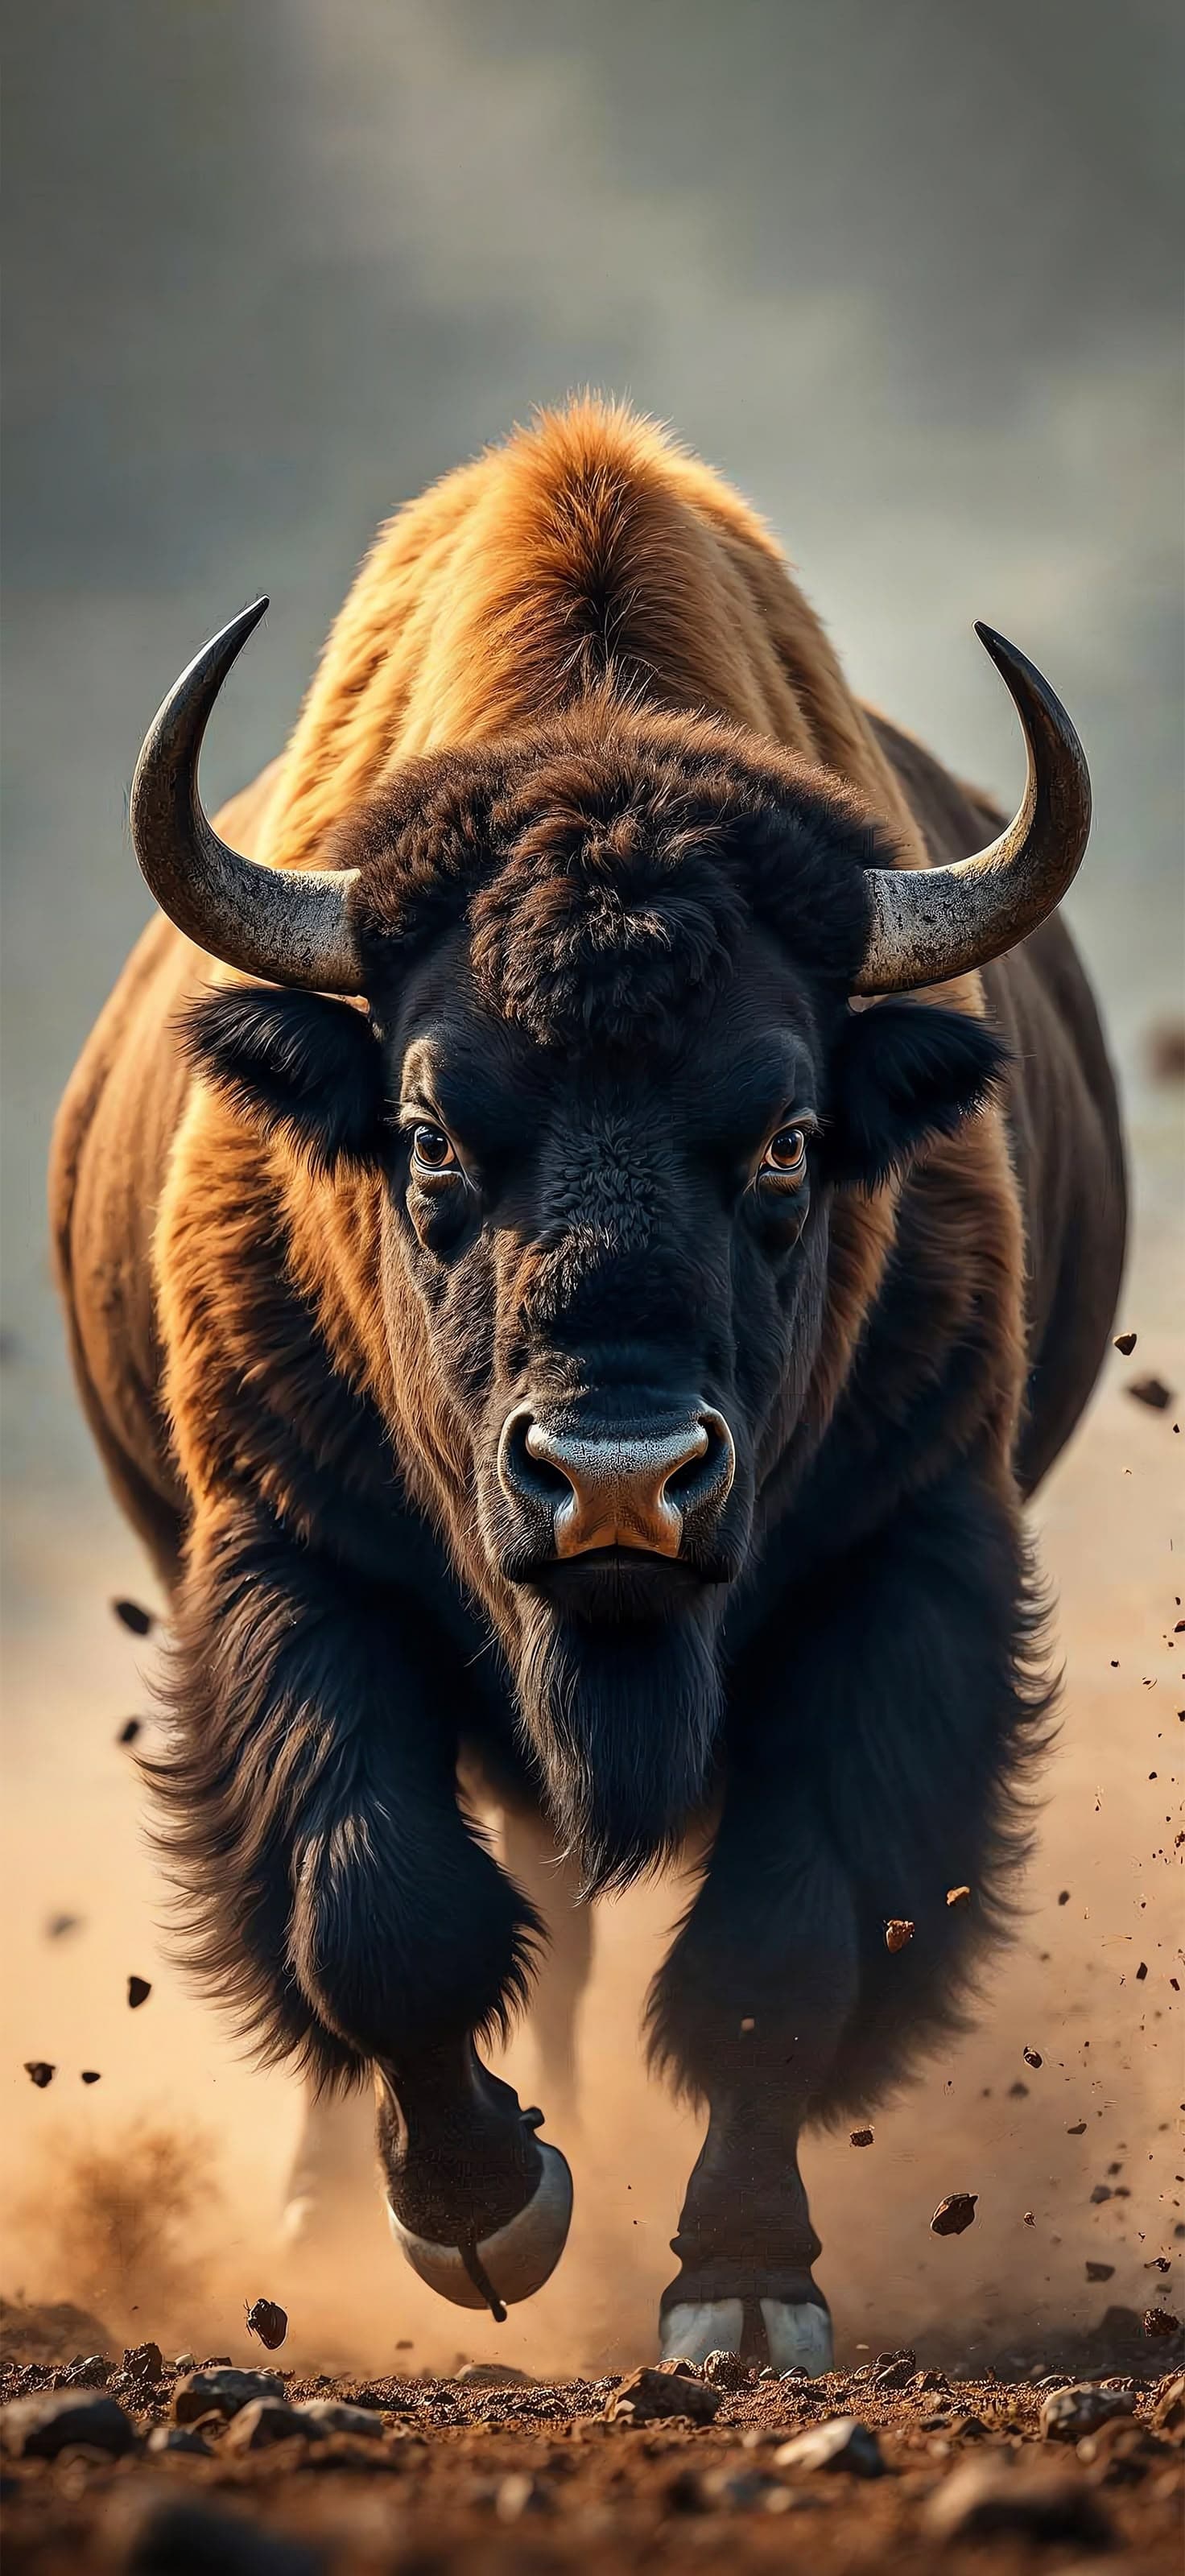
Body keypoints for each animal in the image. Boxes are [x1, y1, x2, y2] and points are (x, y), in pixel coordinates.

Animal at [52, 400, 1124, 2368]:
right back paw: (333, 2214)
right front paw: (483, 2221)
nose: (618, 1480)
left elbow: (785, 1948)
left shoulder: (903, 1562)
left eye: (788, 1136)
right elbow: (370, 1905)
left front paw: (740, 2285)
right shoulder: (286, 1556)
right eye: (424, 1133)